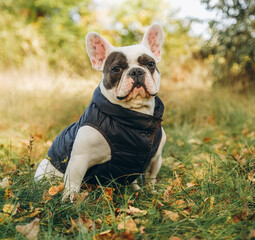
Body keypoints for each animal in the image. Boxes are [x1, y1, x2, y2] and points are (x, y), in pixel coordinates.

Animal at [34, 23, 165, 201]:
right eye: (117, 68)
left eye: (150, 64)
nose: (136, 71)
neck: (134, 119)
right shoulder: (79, 159)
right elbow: (73, 182)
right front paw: (70, 198)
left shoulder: (155, 158)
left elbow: (151, 178)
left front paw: (152, 193)